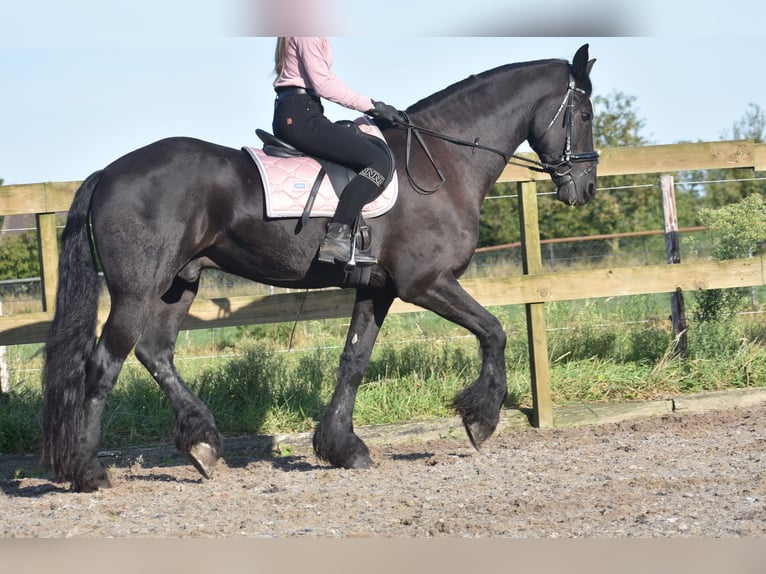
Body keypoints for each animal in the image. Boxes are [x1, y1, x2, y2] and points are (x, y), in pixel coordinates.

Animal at [43, 46, 600, 496]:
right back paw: (88, 472)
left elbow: (354, 362)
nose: (585, 189)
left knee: (156, 353)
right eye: (584, 112)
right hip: (138, 289)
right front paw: (480, 420)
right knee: (104, 365)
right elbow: (495, 331)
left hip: (178, 284)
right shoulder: (426, 283)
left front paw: (342, 448)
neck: (441, 162)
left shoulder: (379, 289)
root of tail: (109, 173)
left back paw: (202, 445)